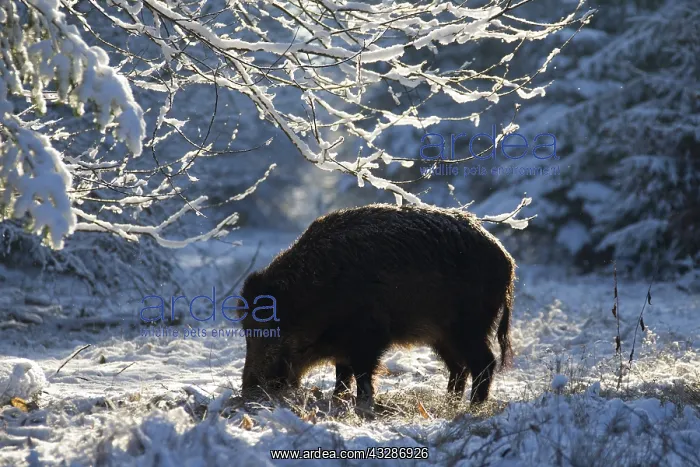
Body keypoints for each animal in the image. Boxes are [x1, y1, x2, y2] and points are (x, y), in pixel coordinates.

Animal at [238, 203, 515, 412]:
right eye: (246, 332)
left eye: (271, 328)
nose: (249, 391)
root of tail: (507, 261)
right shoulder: (344, 344)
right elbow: (342, 373)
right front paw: (338, 401)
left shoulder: (369, 335)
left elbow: (362, 373)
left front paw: (362, 406)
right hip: (442, 336)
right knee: (459, 367)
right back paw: (449, 403)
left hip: (468, 326)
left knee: (484, 363)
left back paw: (472, 409)